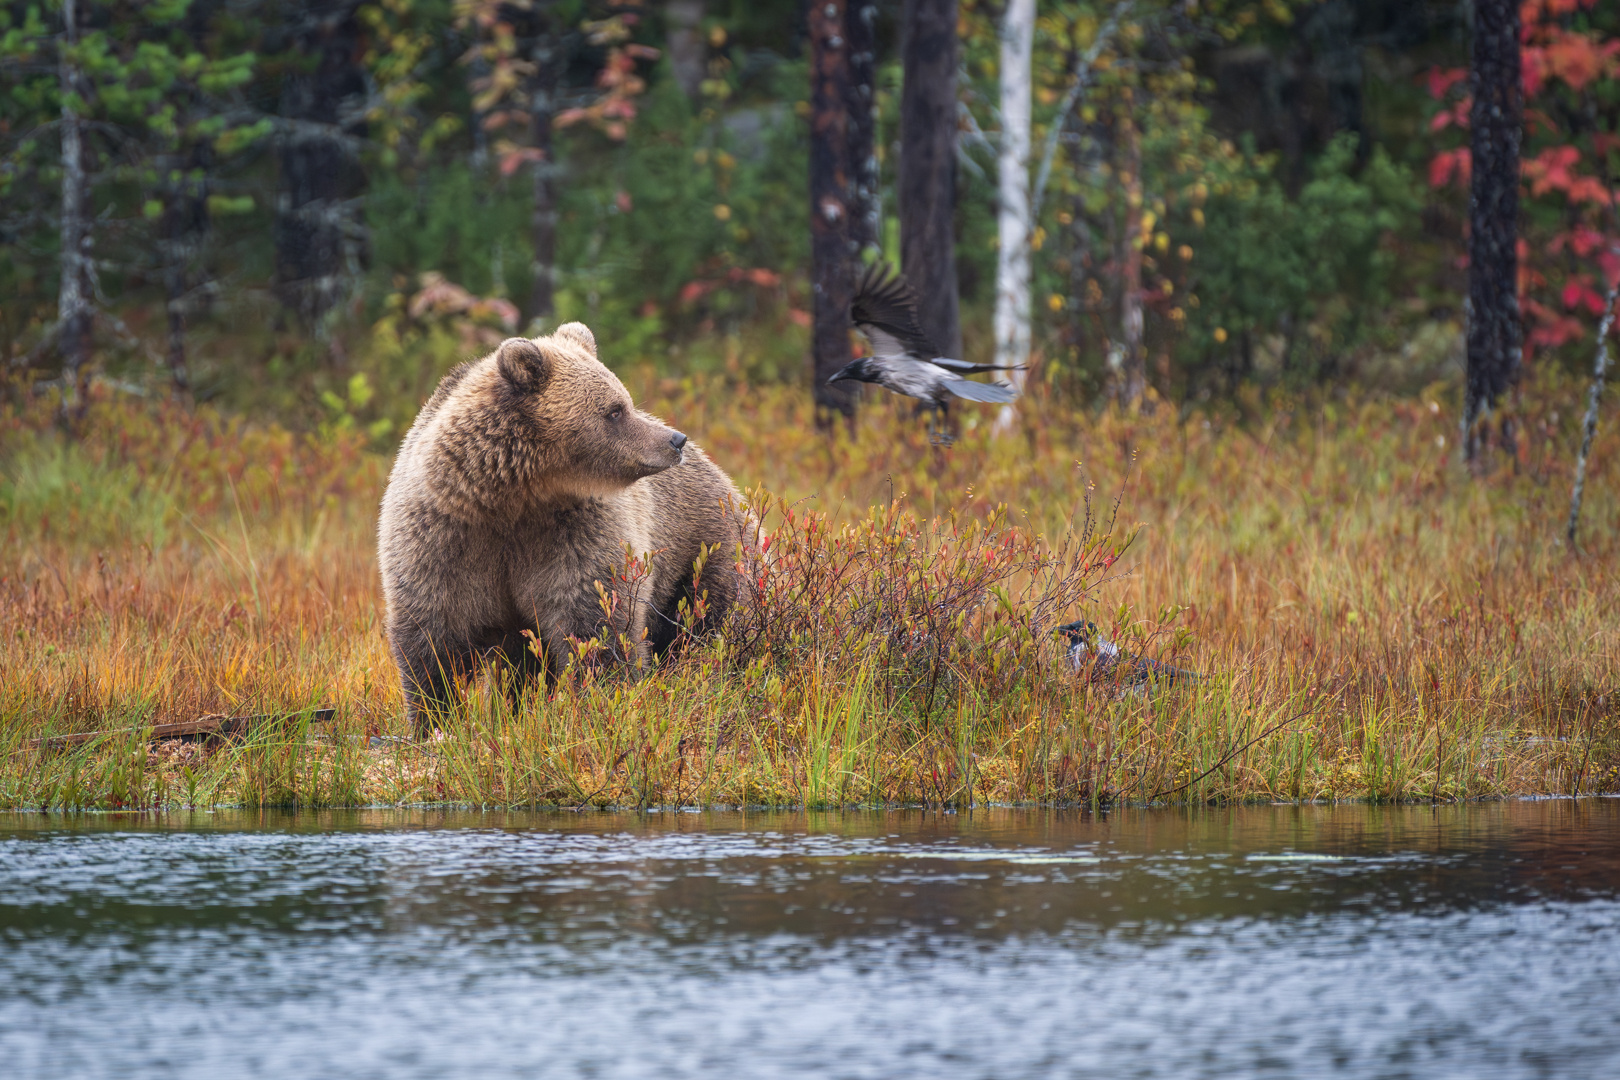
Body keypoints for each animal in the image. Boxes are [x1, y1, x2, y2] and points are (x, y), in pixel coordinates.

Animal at [382, 323, 748, 735]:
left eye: (624, 401)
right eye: (615, 410)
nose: (675, 439)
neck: (514, 500)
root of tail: (724, 480)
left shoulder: (577, 534)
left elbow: (594, 625)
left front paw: (600, 707)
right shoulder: (445, 538)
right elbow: (433, 639)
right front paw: (434, 723)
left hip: (706, 549)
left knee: (714, 617)